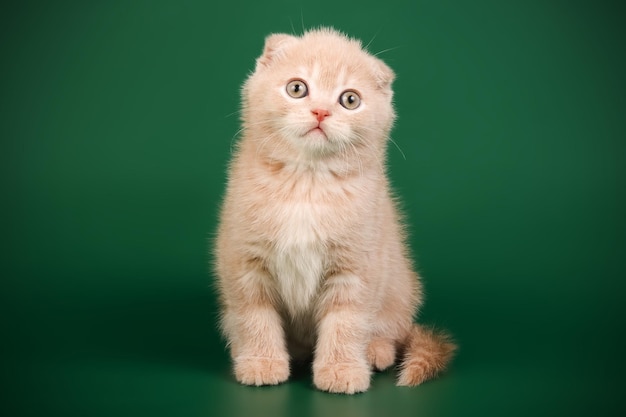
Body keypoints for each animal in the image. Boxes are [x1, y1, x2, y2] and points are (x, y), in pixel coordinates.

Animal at [214, 26, 454, 394]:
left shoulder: (356, 267)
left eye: (349, 100)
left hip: (399, 286)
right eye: (297, 88)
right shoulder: (245, 263)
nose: (321, 112)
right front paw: (261, 362)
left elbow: (346, 321)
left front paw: (342, 369)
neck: (306, 184)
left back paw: (376, 351)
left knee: (391, 329)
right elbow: (255, 316)